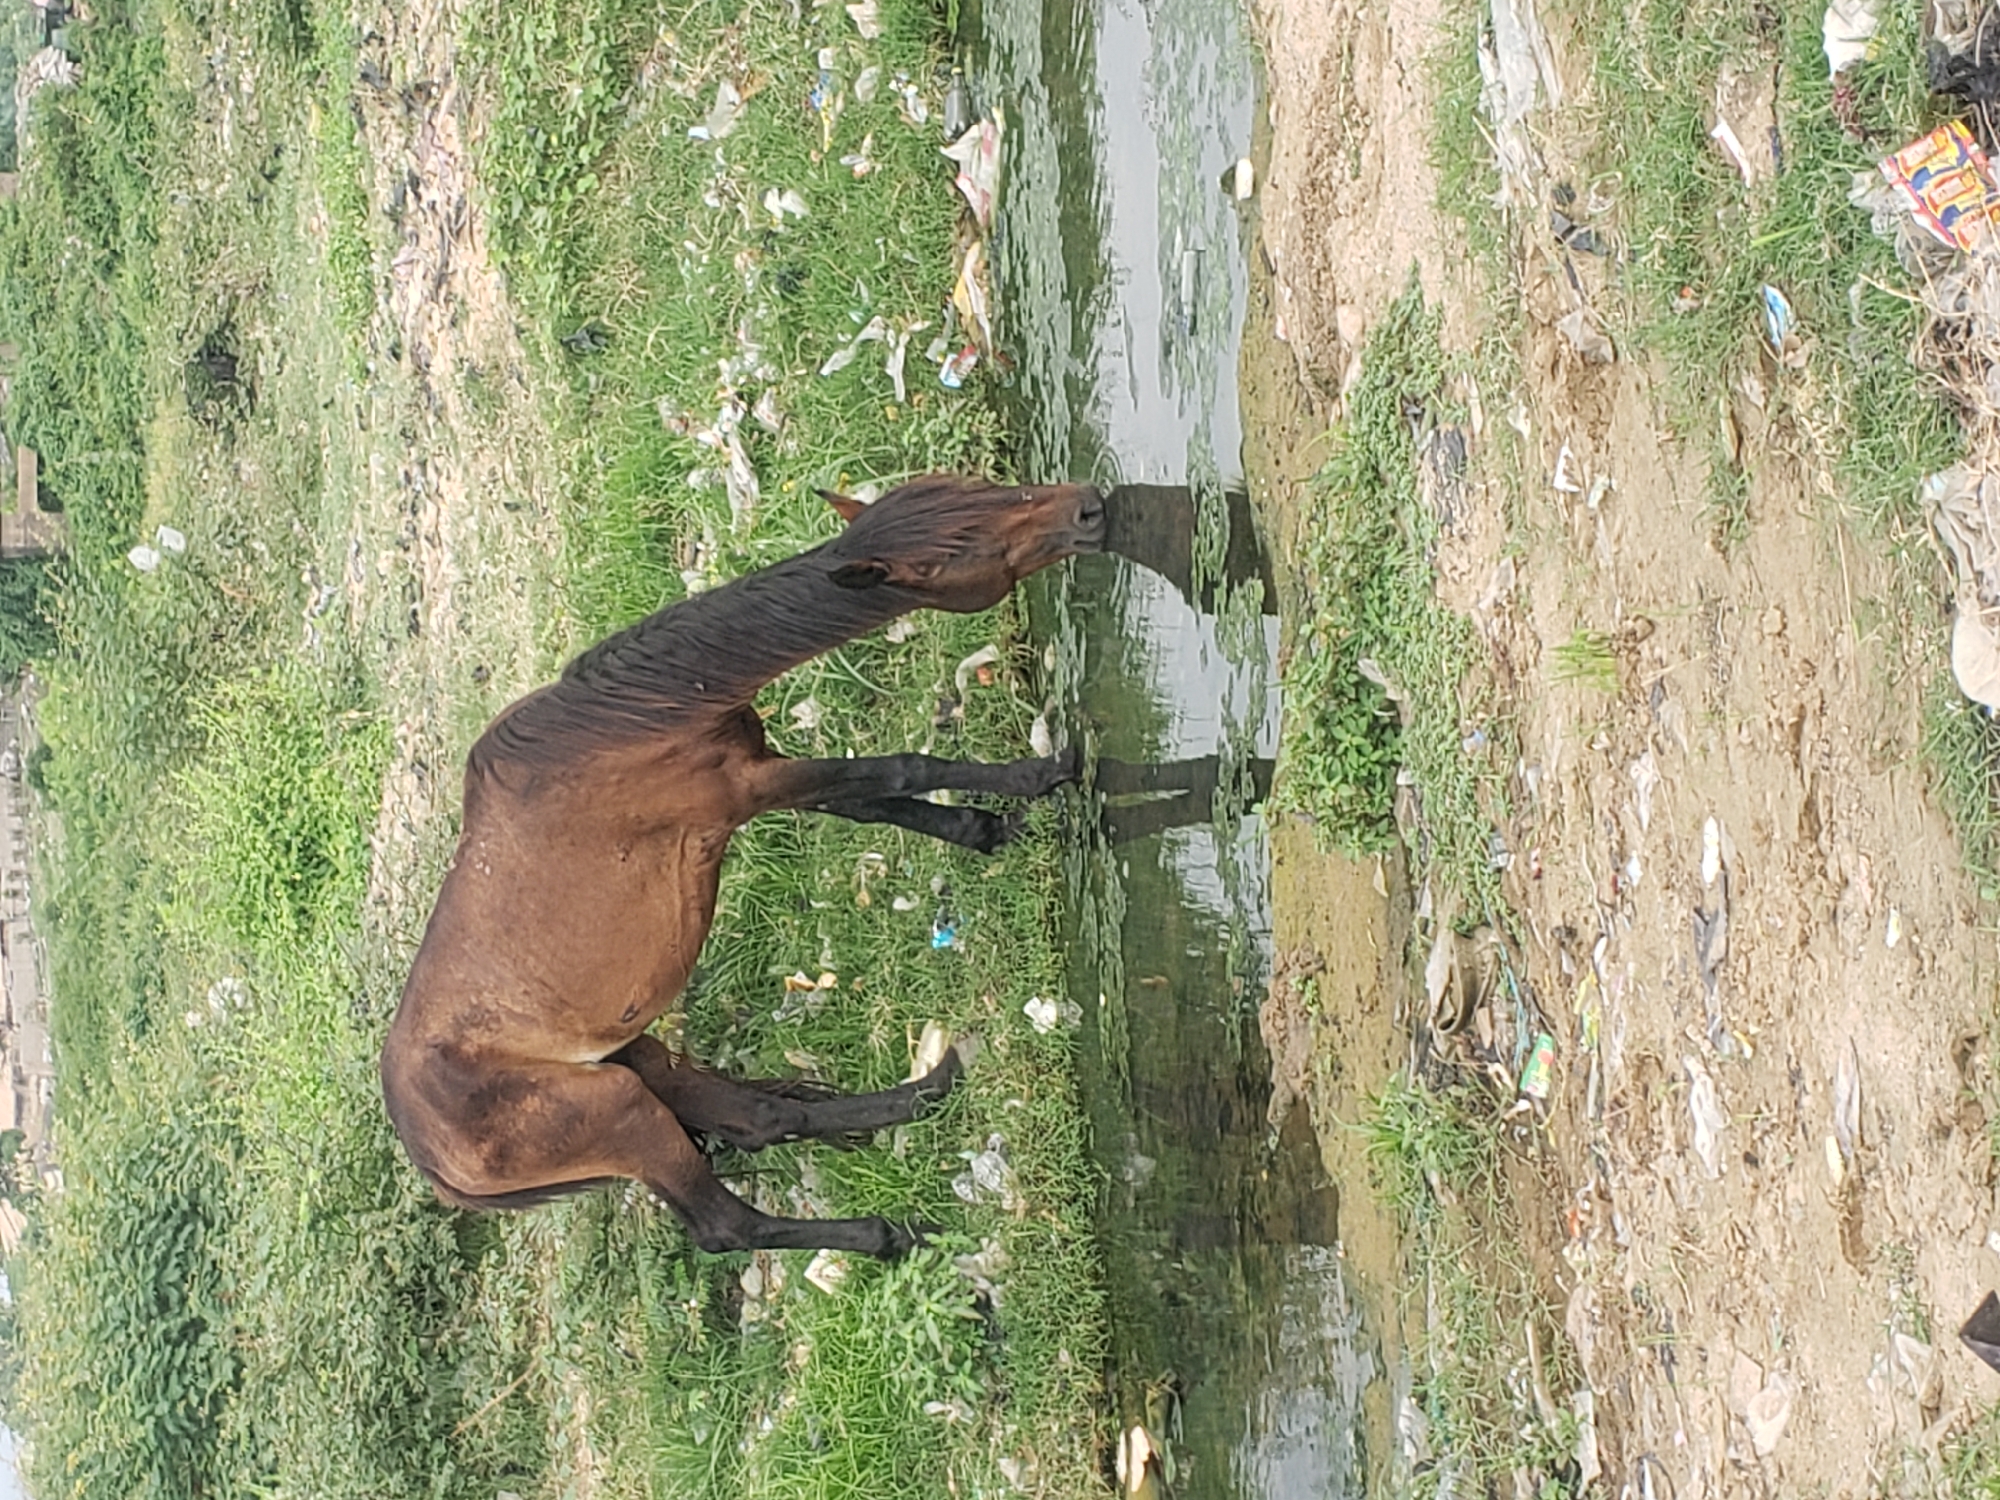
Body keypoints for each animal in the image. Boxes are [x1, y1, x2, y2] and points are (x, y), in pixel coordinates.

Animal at [381, 474, 1107, 1258]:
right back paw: (887, 1233)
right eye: (958, 550)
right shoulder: (742, 790)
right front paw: (1044, 774)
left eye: (980, 487)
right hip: (616, 1108)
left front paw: (982, 827)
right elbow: (901, 769)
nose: (1088, 508)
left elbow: (875, 802)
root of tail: (433, 1165)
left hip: (633, 1060)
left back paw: (927, 1092)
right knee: (725, 1225)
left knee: (757, 1117)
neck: (634, 716)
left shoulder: (756, 771)